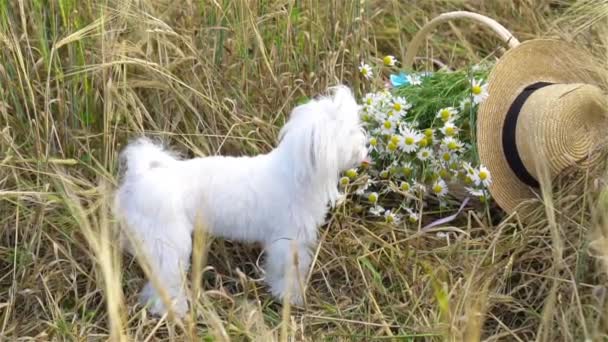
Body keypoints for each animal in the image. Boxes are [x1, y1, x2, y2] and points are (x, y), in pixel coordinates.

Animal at [116, 85, 368, 316]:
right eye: (348, 134)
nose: (365, 149)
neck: (297, 174)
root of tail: (140, 177)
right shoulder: (287, 240)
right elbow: (286, 270)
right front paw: (290, 296)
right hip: (168, 243)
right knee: (166, 281)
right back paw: (175, 310)